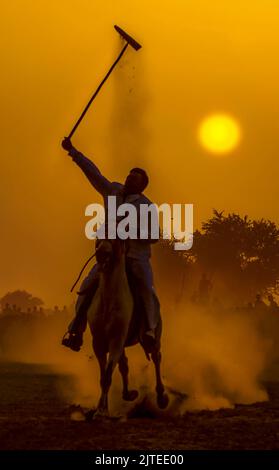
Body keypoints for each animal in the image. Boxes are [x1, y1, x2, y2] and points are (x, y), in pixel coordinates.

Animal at [87, 239, 168, 414]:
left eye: (115, 239)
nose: (101, 253)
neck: (109, 301)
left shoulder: (116, 340)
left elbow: (108, 375)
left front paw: (101, 411)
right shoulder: (98, 343)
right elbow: (104, 376)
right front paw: (101, 407)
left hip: (154, 338)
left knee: (156, 357)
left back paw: (161, 397)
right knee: (124, 365)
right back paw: (128, 394)